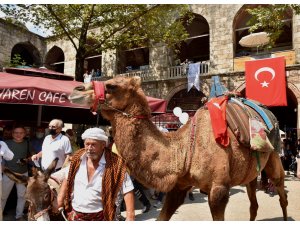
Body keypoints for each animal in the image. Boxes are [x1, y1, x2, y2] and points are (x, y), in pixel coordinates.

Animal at [68, 76, 288, 221]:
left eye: (111, 85)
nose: (75, 90)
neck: (184, 149)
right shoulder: (180, 185)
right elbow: (162, 216)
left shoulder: (219, 189)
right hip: (250, 172)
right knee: (254, 202)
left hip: (275, 153)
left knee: (280, 191)